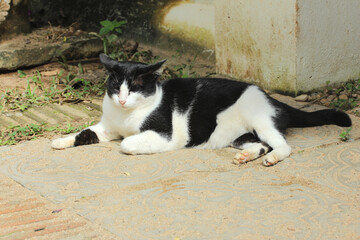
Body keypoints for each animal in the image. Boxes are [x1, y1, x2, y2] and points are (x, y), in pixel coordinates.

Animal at [50, 54, 352, 167]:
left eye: (134, 88)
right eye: (115, 87)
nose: (123, 100)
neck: (125, 117)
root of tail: (272, 98)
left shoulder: (162, 134)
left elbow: (126, 143)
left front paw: (130, 145)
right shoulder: (106, 127)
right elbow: (85, 132)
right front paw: (61, 141)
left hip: (262, 120)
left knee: (282, 145)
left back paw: (272, 158)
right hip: (239, 134)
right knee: (259, 143)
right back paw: (246, 156)